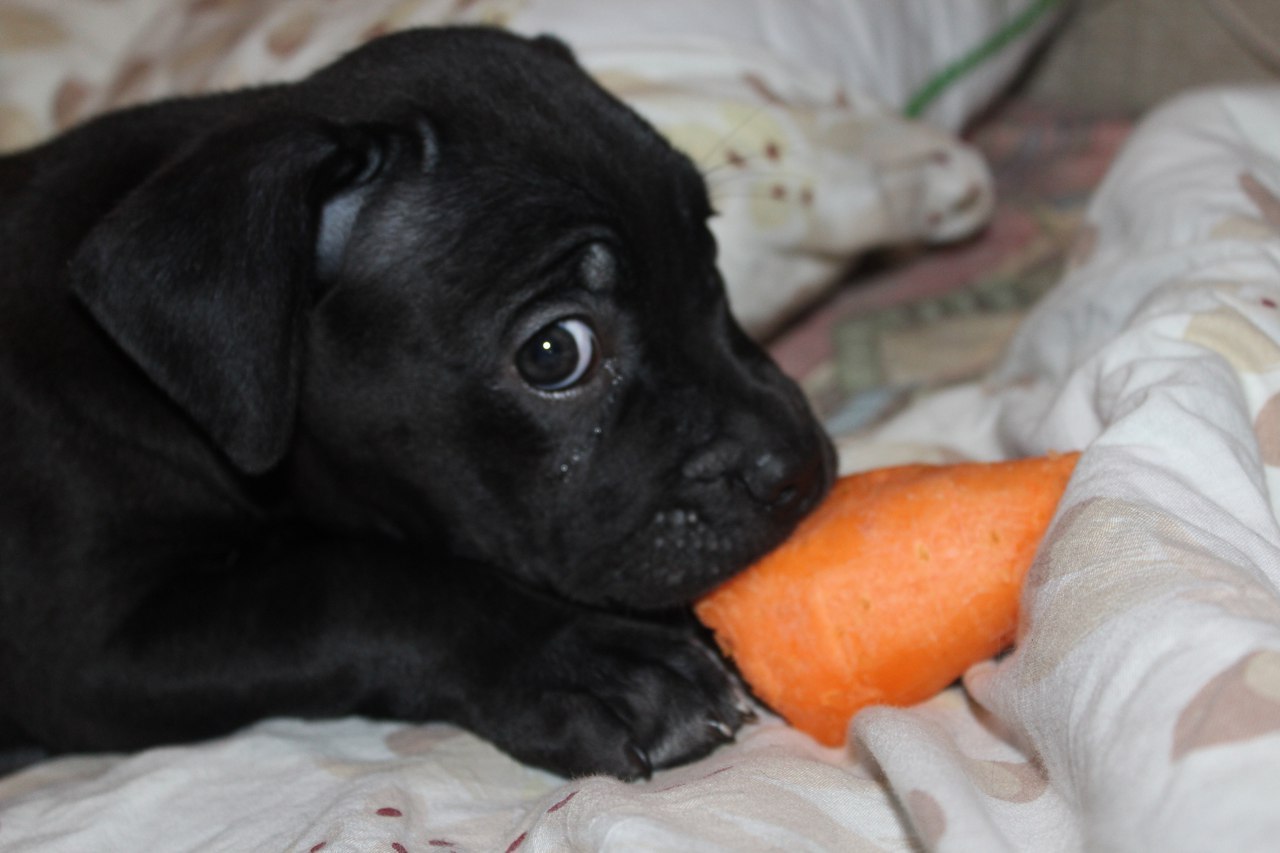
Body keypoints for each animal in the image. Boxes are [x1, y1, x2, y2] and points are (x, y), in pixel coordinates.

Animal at [0, 28, 834, 778]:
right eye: (554, 352)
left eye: (708, 259)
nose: (798, 467)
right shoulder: (87, 648)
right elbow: (355, 585)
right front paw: (591, 662)